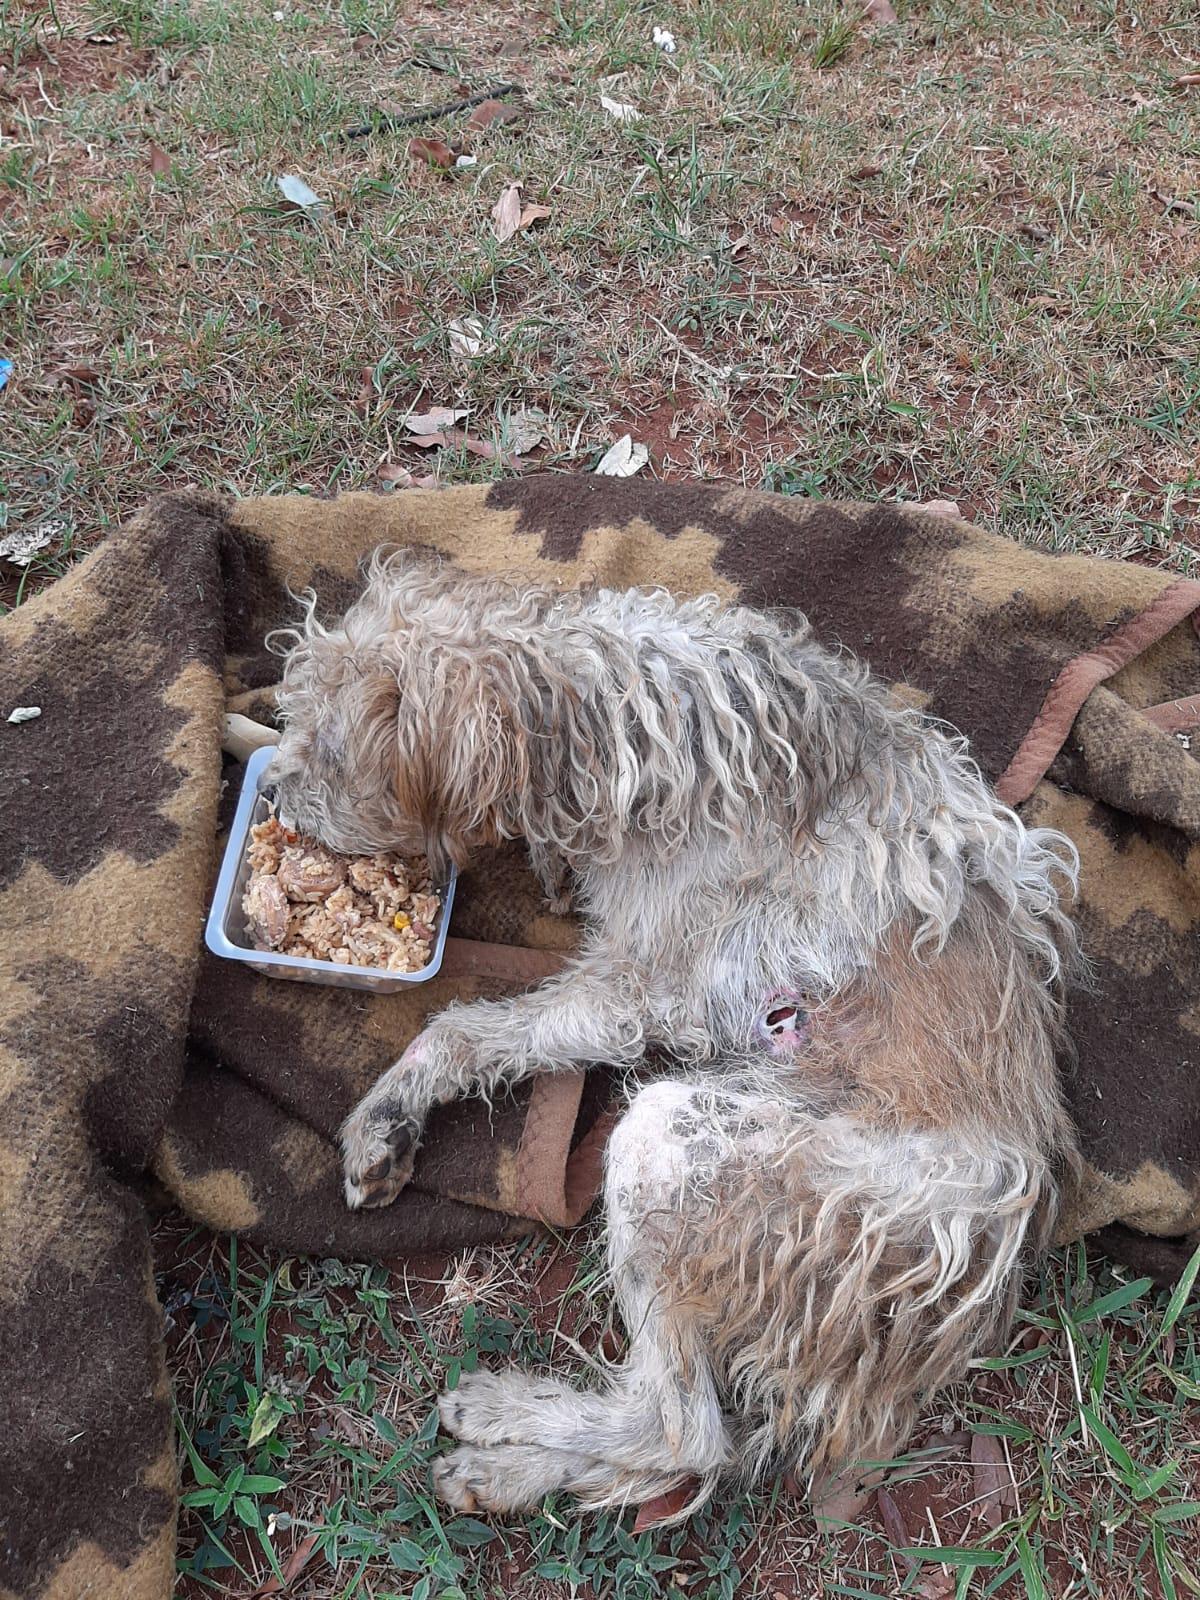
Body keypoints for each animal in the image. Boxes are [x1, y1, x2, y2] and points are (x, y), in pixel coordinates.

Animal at [270, 556, 1081, 1516]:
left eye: (329, 749)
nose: (272, 789)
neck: (602, 714)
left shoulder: (633, 990)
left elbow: (462, 1025)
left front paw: (386, 1118)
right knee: (681, 1447)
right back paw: (512, 1467)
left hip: (674, 1141)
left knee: (682, 1429)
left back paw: (506, 1425)